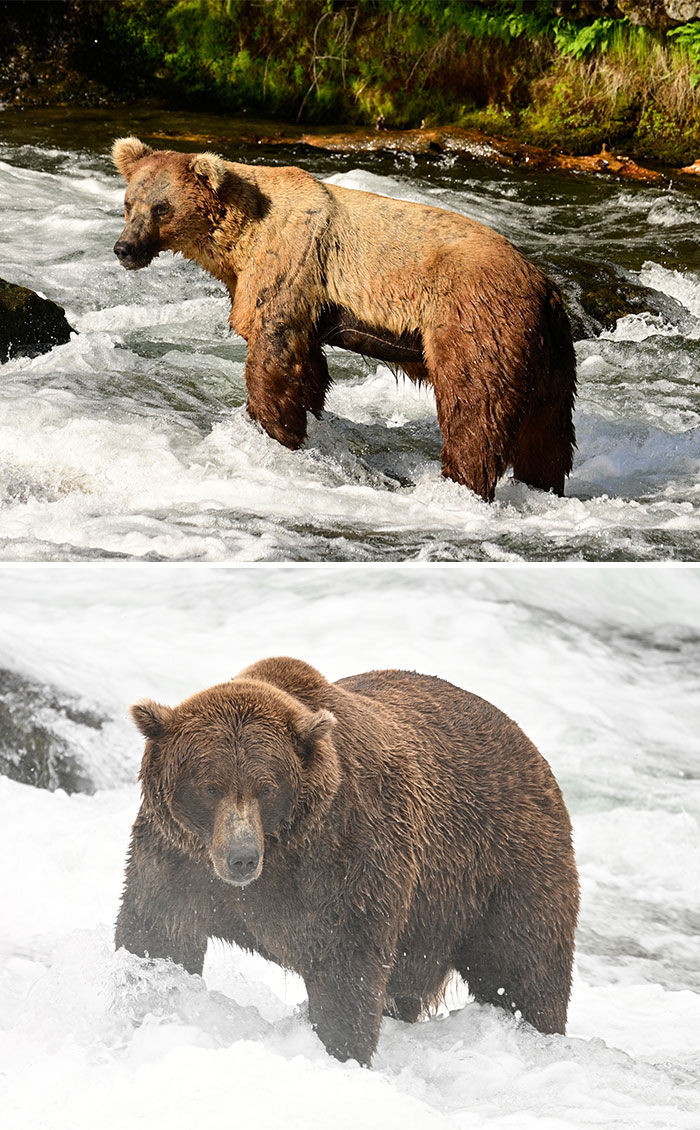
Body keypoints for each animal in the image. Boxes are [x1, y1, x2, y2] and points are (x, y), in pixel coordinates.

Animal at [112, 137, 576, 502]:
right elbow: (308, 367)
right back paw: (543, 484)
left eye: (161, 208)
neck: (238, 242)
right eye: (129, 204)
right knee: (548, 431)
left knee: (475, 407)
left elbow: (272, 353)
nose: (124, 249)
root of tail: (545, 286)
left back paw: (461, 483)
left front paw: (271, 430)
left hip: (476, 319)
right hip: (549, 352)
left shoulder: (290, 262)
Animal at [115, 656, 579, 1066]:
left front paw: (340, 1050)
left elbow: (345, 969)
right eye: (210, 786)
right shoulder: (177, 860)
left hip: (500, 870)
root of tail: (529, 748)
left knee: (524, 970)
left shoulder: (346, 859)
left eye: (266, 787)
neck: (282, 851)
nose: (241, 858)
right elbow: (157, 935)